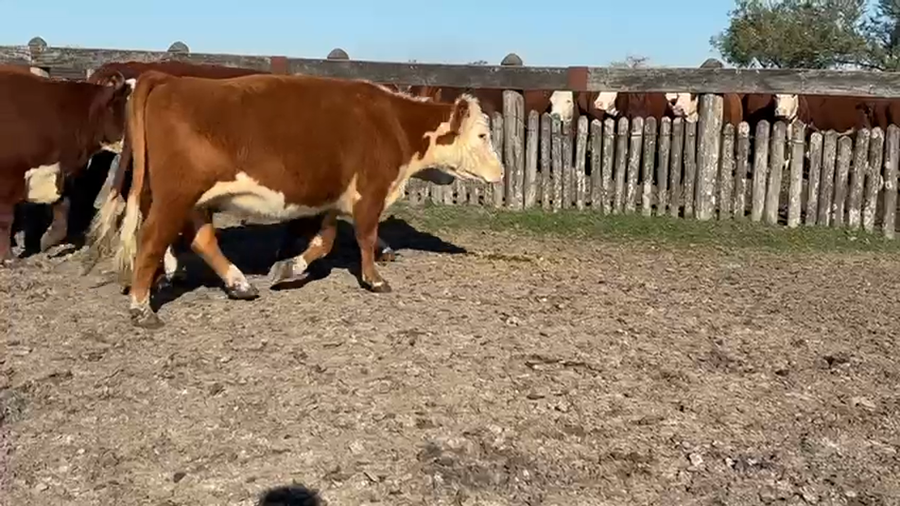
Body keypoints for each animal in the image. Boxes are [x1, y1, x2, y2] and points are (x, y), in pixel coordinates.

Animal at [0, 69, 130, 264]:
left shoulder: (56, 172)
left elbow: (63, 207)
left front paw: (47, 241)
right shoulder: (8, 177)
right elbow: (6, 219)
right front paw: (8, 258)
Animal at [90, 71, 503, 328]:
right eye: (483, 135)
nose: (501, 172)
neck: (392, 122)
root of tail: (169, 80)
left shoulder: (333, 200)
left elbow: (324, 242)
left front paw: (288, 268)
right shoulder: (369, 192)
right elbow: (365, 236)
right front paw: (374, 280)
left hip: (194, 201)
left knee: (201, 239)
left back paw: (239, 284)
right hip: (174, 196)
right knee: (151, 241)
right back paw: (142, 308)